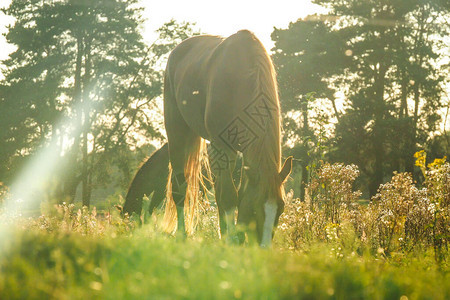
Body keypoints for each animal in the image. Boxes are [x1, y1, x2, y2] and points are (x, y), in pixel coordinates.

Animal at [162, 29, 292, 247]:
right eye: (255, 209)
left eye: (281, 209)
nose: (263, 249)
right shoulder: (222, 147)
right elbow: (230, 197)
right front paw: (233, 241)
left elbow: (233, 193)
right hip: (177, 132)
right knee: (181, 187)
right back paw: (182, 234)